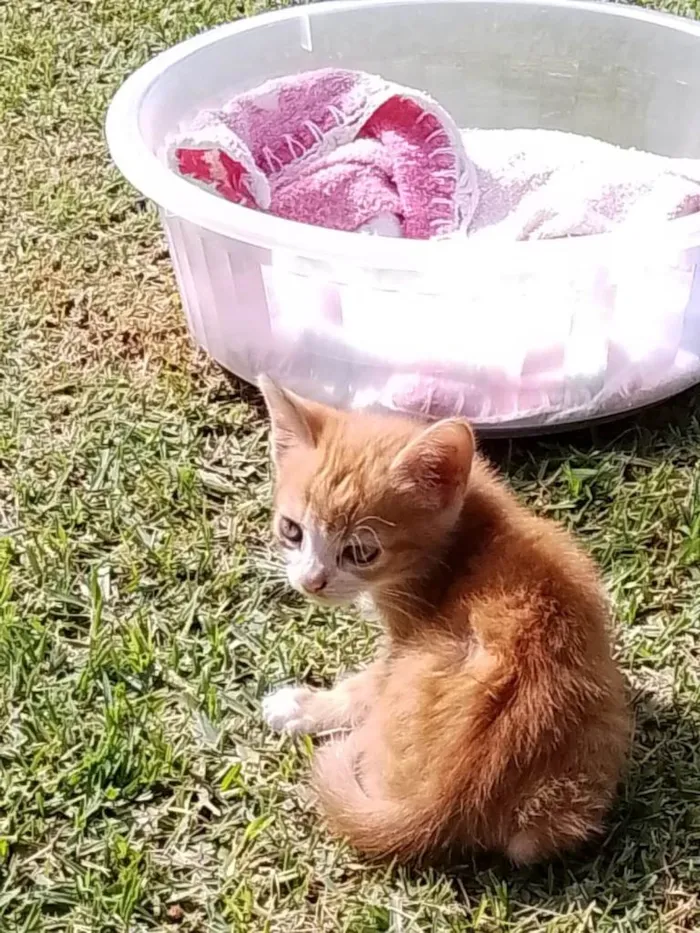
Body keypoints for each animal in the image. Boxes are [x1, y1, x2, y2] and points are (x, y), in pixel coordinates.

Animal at [260, 374, 632, 864]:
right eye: (292, 531)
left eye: (361, 552)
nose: (311, 582)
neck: (465, 536)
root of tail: (447, 801)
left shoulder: (400, 641)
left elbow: (363, 690)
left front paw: (303, 706)